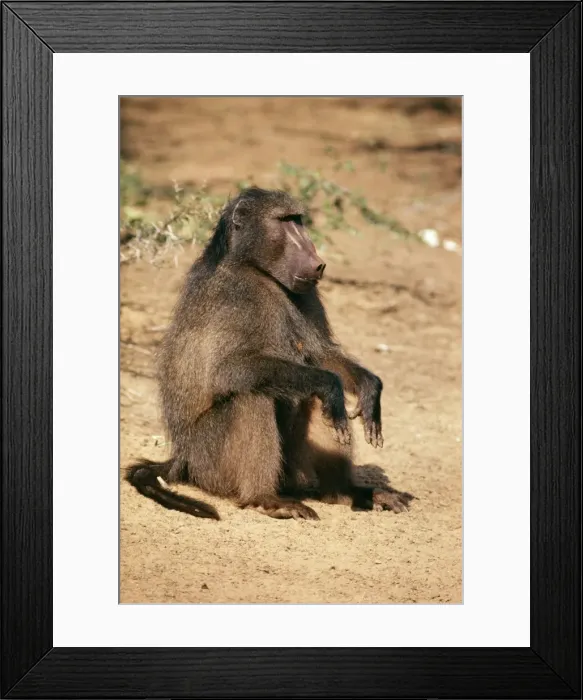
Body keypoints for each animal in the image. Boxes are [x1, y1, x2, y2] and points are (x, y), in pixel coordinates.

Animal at [126, 187, 411, 520]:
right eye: (285, 221)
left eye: (298, 220)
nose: (318, 263)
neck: (256, 270)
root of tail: (181, 458)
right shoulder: (234, 294)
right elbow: (227, 371)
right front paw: (331, 385)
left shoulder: (307, 294)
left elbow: (321, 355)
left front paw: (369, 389)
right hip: (209, 463)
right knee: (253, 395)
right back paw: (264, 498)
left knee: (319, 404)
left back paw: (346, 493)